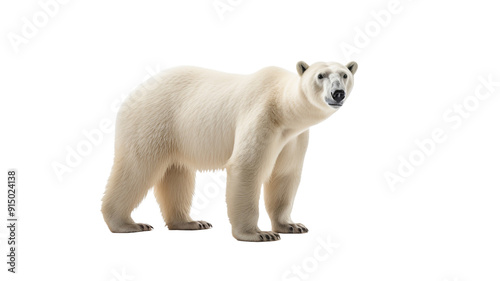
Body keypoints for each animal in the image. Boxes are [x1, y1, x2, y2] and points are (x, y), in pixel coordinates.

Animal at [101, 60, 358, 241]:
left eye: (345, 75)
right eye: (320, 75)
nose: (337, 93)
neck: (284, 110)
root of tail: (131, 94)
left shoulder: (293, 138)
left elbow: (284, 175)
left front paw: (292, 225)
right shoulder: (263, 116)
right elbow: (247, 167)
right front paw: (259, 233)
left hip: (176, 134)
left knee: (177, 174)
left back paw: (190, 222)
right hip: (151, 121)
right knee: (137, 167)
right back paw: (127, 224)